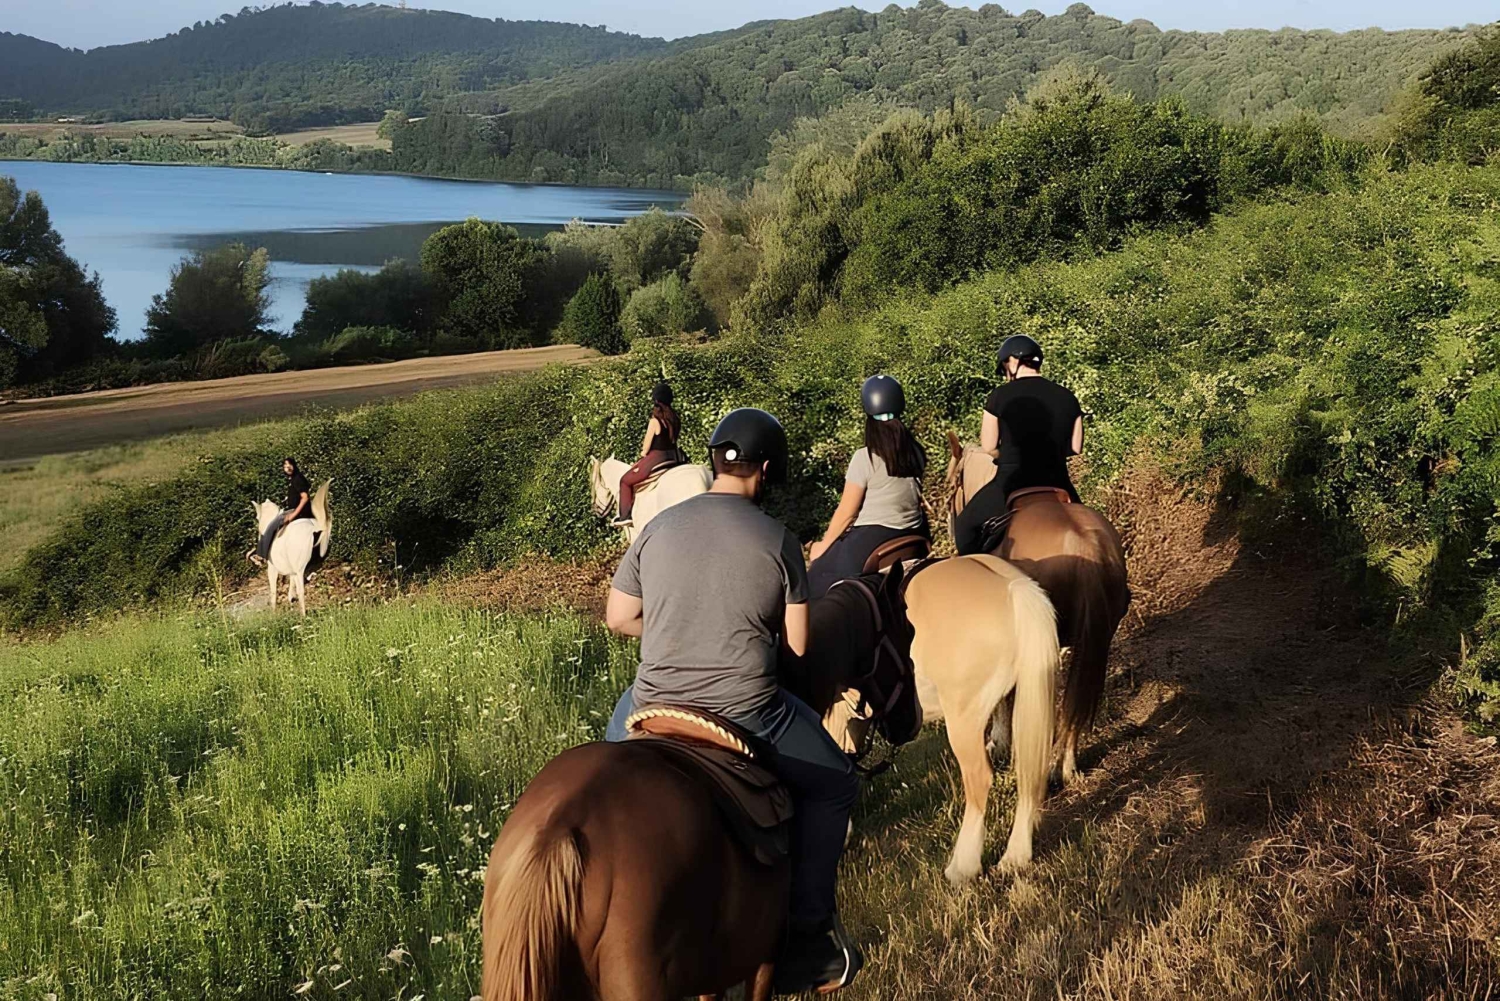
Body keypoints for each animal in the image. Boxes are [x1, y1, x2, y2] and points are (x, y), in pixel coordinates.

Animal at [251, 480, 332, 616]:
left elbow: (273, 590)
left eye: (257, 517)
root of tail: (315, 528)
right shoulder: (292, 571)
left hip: (299, 570)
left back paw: (303, 616)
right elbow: (290, 588)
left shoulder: (272, 569)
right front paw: (290, 601)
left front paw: (273, 612)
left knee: (301, 592)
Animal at [944, 432, 1130, 785]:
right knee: (1075, 697)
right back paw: (1063, 765)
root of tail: (1085, 545)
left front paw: (998, 743)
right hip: (1093, 639)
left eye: (951, 488)